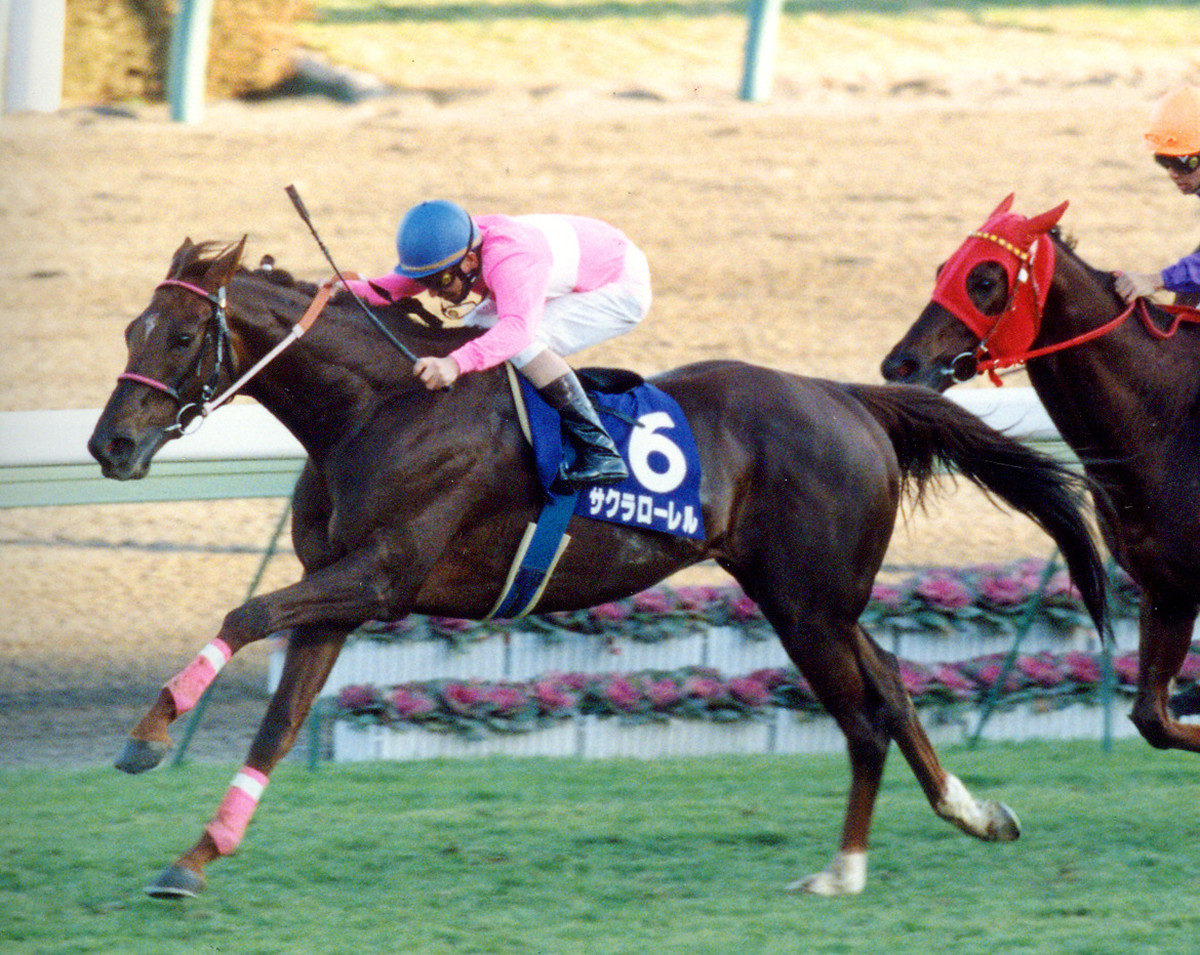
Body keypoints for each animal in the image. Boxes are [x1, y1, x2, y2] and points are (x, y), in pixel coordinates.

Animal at [88, 236, 1110, 899]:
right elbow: (277, 725)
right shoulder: (340, 596)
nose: (109, 445)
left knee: (862, 717)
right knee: (893, 685)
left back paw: (842, 870)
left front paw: (146, 735)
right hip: (815, 596)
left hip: (806, 605)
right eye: (130, 329)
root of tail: (846, 396)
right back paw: (972, 812)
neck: (375, 407)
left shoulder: (380, 576)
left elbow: (241, 616)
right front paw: (196, 856)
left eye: (181, 337)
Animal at [881, 193, 1200, 755]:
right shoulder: (1167, 588)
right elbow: (1152, 719)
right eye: (943, 269)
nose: (899, 366)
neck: (1169, 419)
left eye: (984, 279)